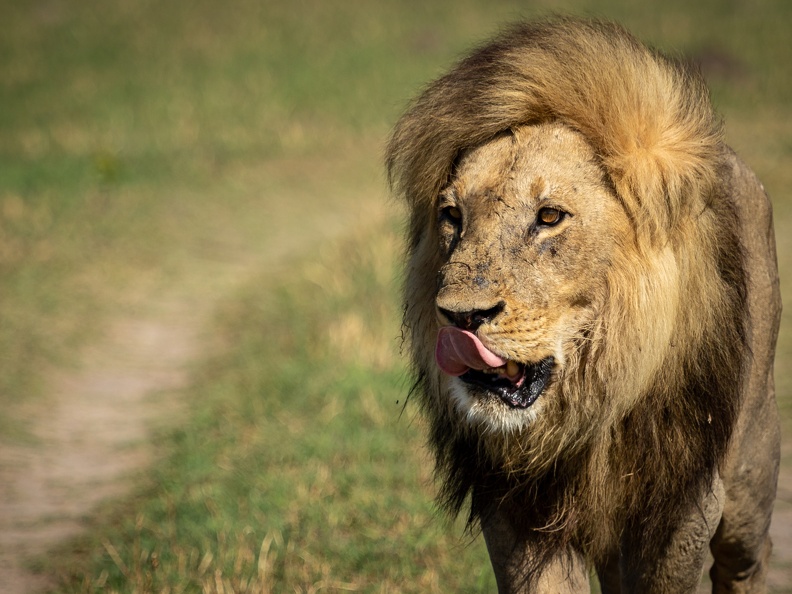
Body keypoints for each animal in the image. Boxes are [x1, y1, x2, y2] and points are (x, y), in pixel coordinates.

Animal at [386, 18, 781, 593]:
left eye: (550, 216)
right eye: (452, 215)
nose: (460, 317)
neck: (595, 401)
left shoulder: (681, 508)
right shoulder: (518, 509)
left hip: (751, 471)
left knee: (749, 556)